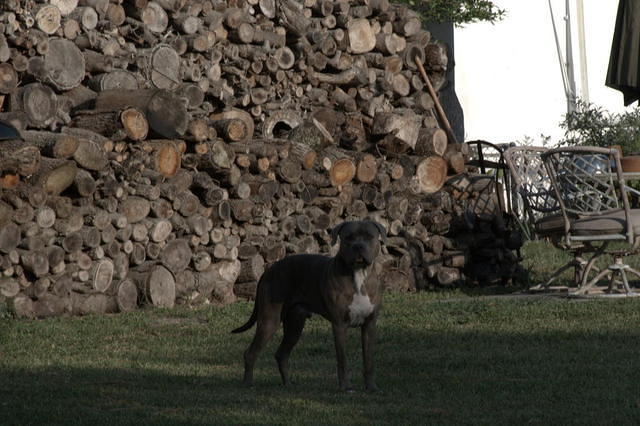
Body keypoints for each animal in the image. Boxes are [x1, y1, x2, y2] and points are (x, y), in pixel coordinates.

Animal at [232, 221, 388, 392]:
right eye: (348, 237)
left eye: (369, 237)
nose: (358, 246)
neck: (358, 274)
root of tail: (268, 271)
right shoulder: (340, 325)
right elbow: (343, 360)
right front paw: (346, 388)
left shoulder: (369, 325)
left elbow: (369, 361)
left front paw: (371, 387)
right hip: (269, 321)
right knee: (250, 353)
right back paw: (248, 384)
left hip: (295, 325)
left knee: (282, 354)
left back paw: (288, 384)